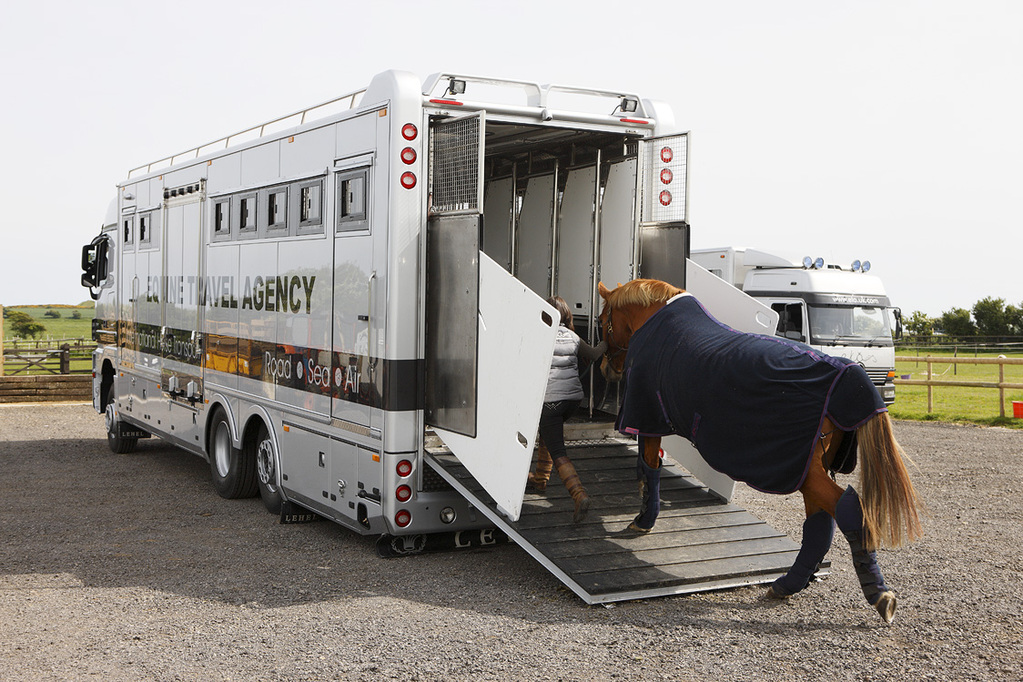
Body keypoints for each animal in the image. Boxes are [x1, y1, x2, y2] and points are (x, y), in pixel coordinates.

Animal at [597, 279, 922, 623]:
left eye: (602, 321)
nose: (606, 368)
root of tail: (848, 375)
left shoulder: (647, 418)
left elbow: (649, 467)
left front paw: (644, 520)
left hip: (801, 471)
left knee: (848, 510)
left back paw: (878, 594)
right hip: (809, 470)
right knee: (821, 521)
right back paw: (789, 584)